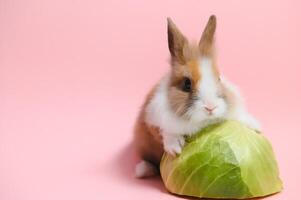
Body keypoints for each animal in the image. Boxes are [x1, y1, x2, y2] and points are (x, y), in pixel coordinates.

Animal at [132, 15, 258, 178]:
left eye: (218, 78)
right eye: (187, 84)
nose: (210, 107)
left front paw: (256, 126)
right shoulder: (153, 120)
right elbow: (165, 131)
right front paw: (175, 148)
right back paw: (143, 169)